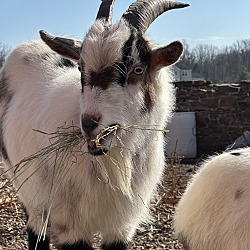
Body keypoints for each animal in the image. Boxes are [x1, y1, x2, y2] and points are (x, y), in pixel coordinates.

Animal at [0, 0, 188, 249]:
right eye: (80, 67)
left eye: (138, 69)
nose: (89, 123)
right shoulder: (69, 225)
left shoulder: (121, 227)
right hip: (27, 187)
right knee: (35, 228)